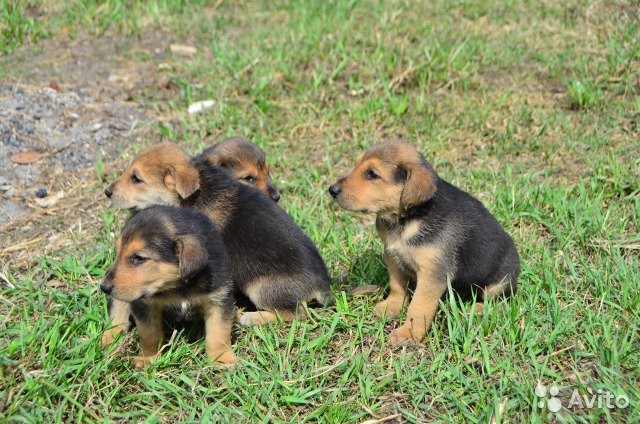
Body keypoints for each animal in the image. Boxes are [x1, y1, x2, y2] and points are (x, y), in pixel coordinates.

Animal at [100, 205, 235, 367]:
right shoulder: (144, 305)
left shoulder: (219, 300)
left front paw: (222, 358)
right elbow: (150, 334)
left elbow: (219, 333)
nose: (104, 287)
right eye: (117, 253)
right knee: (117, 315)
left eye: (139, 258)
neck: (177, 286)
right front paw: (148, 358)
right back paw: (108, 342)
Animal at [104, 142, 332, 326]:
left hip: (261, 288)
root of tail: (322, 285)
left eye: (136, 179)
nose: (107, 192)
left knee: (296, 313)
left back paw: (251, 317)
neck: (189, 196)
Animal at [329, 141, 520, 344]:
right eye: (356, 165)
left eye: (372, 174)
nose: (332, 190)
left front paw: (408, 333)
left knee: (502, 303)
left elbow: (419, 307)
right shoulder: (392, 256)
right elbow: (397, 285)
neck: (407, 218)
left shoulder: (432, 274)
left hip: (499, 283)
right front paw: (392, 306)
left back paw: (475, 309)